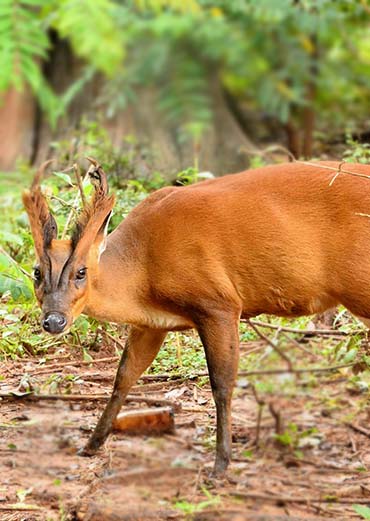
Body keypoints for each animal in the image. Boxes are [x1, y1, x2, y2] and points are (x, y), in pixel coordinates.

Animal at [23, 159, 370, 476]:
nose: (53, 321)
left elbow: (222, 383)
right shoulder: (150, 324)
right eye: (37, 272)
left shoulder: (219, 304)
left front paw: (221, 465)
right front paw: (91, 444)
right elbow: (124, 376)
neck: (142, 267)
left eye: (81, 272)